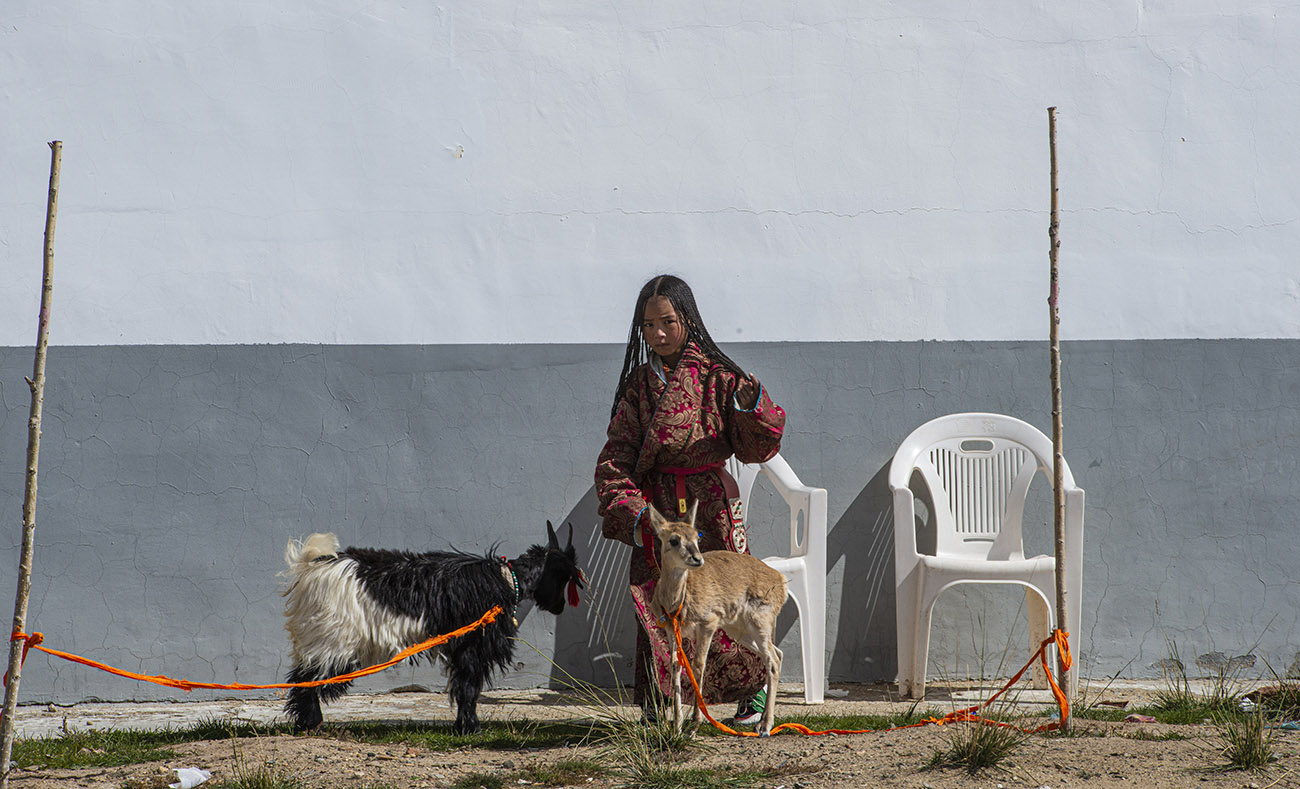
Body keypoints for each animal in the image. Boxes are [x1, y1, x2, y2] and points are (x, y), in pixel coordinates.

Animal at [287, 525, 587, 733]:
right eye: (563, 576)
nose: (560, 606)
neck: (507, 579)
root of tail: (314, 565)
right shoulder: (473, 645)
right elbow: (468, 687)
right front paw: (469, 728)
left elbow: (464, 686)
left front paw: (463, 725)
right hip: (332, 638)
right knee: (308, 679)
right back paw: (312, 724)